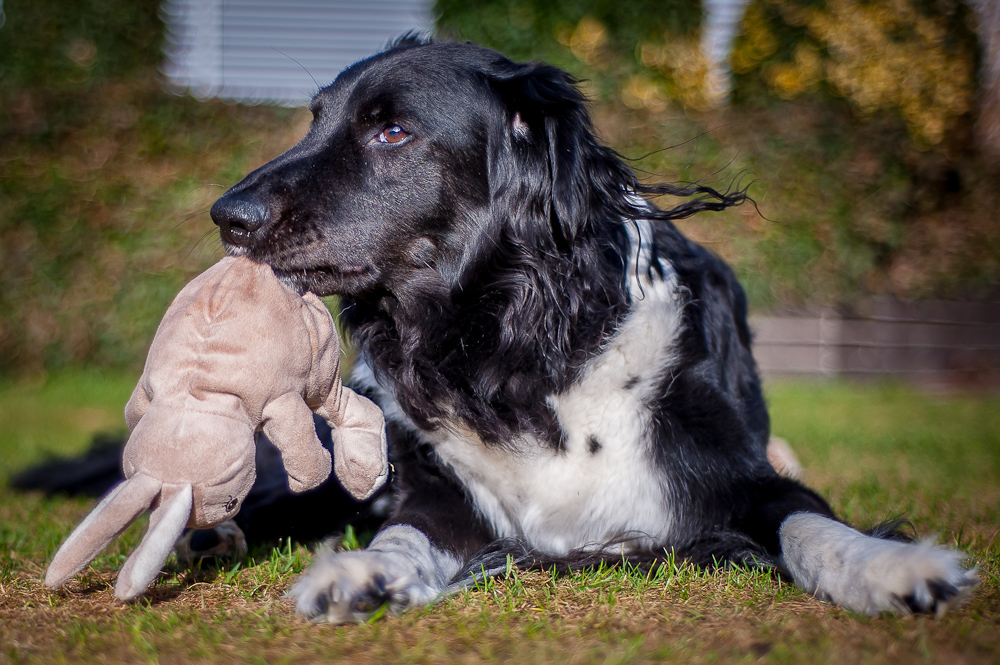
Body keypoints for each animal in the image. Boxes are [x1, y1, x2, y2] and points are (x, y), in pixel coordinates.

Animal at [211, 39, 976, 624]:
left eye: (391, 131)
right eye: (314, 121)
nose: (226, 216)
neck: (512, 343)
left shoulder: (740, 477)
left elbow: (812, 525)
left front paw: (891, 567)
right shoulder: (440, 495)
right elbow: (402, 533)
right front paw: (360, 574)